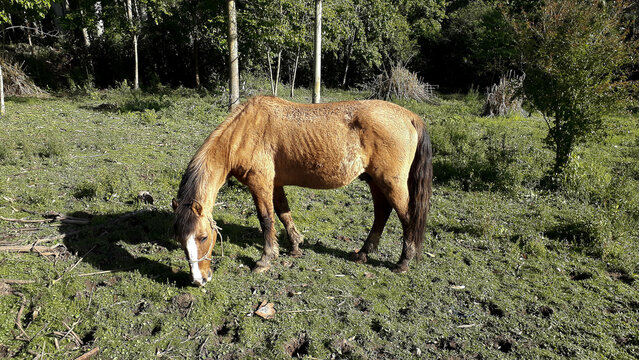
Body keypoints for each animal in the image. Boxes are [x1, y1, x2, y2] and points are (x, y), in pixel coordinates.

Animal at [172, 95, 432, 286]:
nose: (199, 280)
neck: (244, 132)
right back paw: (363, 253)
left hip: (390, 182)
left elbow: (266, 219)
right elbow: (283, 213)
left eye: (203, 237)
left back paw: (403, 262)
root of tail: (410, 116)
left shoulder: (260, 184)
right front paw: (296, 246)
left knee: (407, 217)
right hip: (374, 181)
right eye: (180, 239)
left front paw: (265, 259)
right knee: (381, 214)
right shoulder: (275, 184)